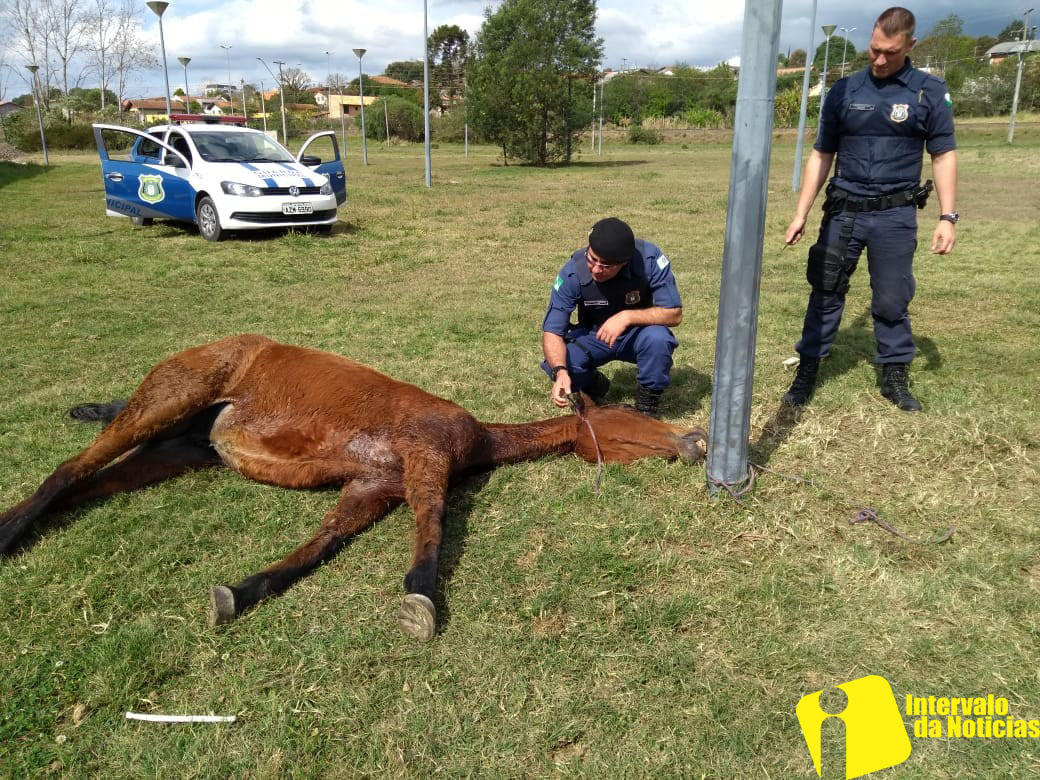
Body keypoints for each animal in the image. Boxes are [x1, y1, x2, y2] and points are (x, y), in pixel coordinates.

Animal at [0, 336, 707, 640]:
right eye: (633, 424)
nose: (696, 442)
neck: (476, 436)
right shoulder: (425, 457)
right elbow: (432, 526)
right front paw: (420, 603)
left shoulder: (372, 485)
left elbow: (323, 541)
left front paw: (238, 593)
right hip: (171, 396)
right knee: (71, 468)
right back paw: (9, 532)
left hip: (178, 447)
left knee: (86, 483)